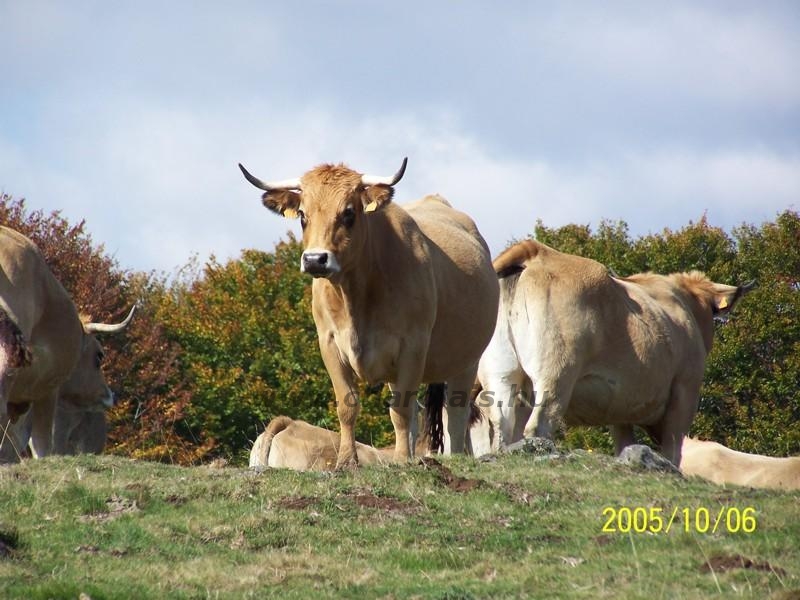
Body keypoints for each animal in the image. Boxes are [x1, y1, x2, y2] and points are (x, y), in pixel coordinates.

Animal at [239, 157, 500, 466]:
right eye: (302, 215)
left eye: (349, 212)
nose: (315, 259)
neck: (356, 299)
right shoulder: (330, 344)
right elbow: (348, 405)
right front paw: (346, 461)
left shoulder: (413, 346)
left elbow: (401, 410)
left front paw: (402, 460)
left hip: (467, 360)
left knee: (456, 412)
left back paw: (454, 455)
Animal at [478, 241, 752, 466]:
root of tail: (537, 252)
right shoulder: (684, 393)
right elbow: (673, 452)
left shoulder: (622, 406)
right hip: (556, 376)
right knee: (539, 425)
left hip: (502, 376)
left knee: (503, 424)